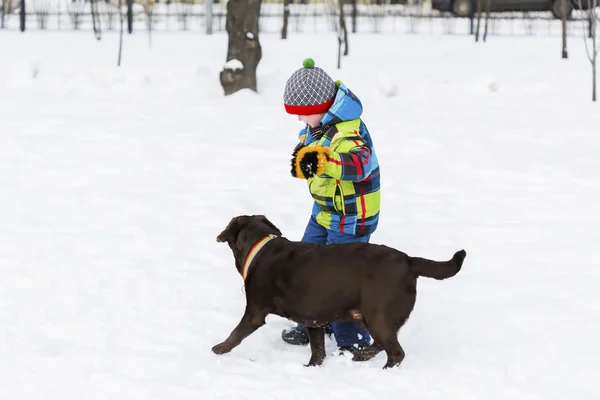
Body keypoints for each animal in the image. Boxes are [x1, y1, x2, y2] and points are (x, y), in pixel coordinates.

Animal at [213, 216, 466, 368]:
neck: (261, 248)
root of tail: (409, 261)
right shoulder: (313, 319)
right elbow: (318, 350)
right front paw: (311, 368)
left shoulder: (255, 312)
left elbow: (235, 334)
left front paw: (218, 349)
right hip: (371, 317)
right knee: (381, 344)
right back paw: (362, 355)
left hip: (378, 315)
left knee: (395, 352)